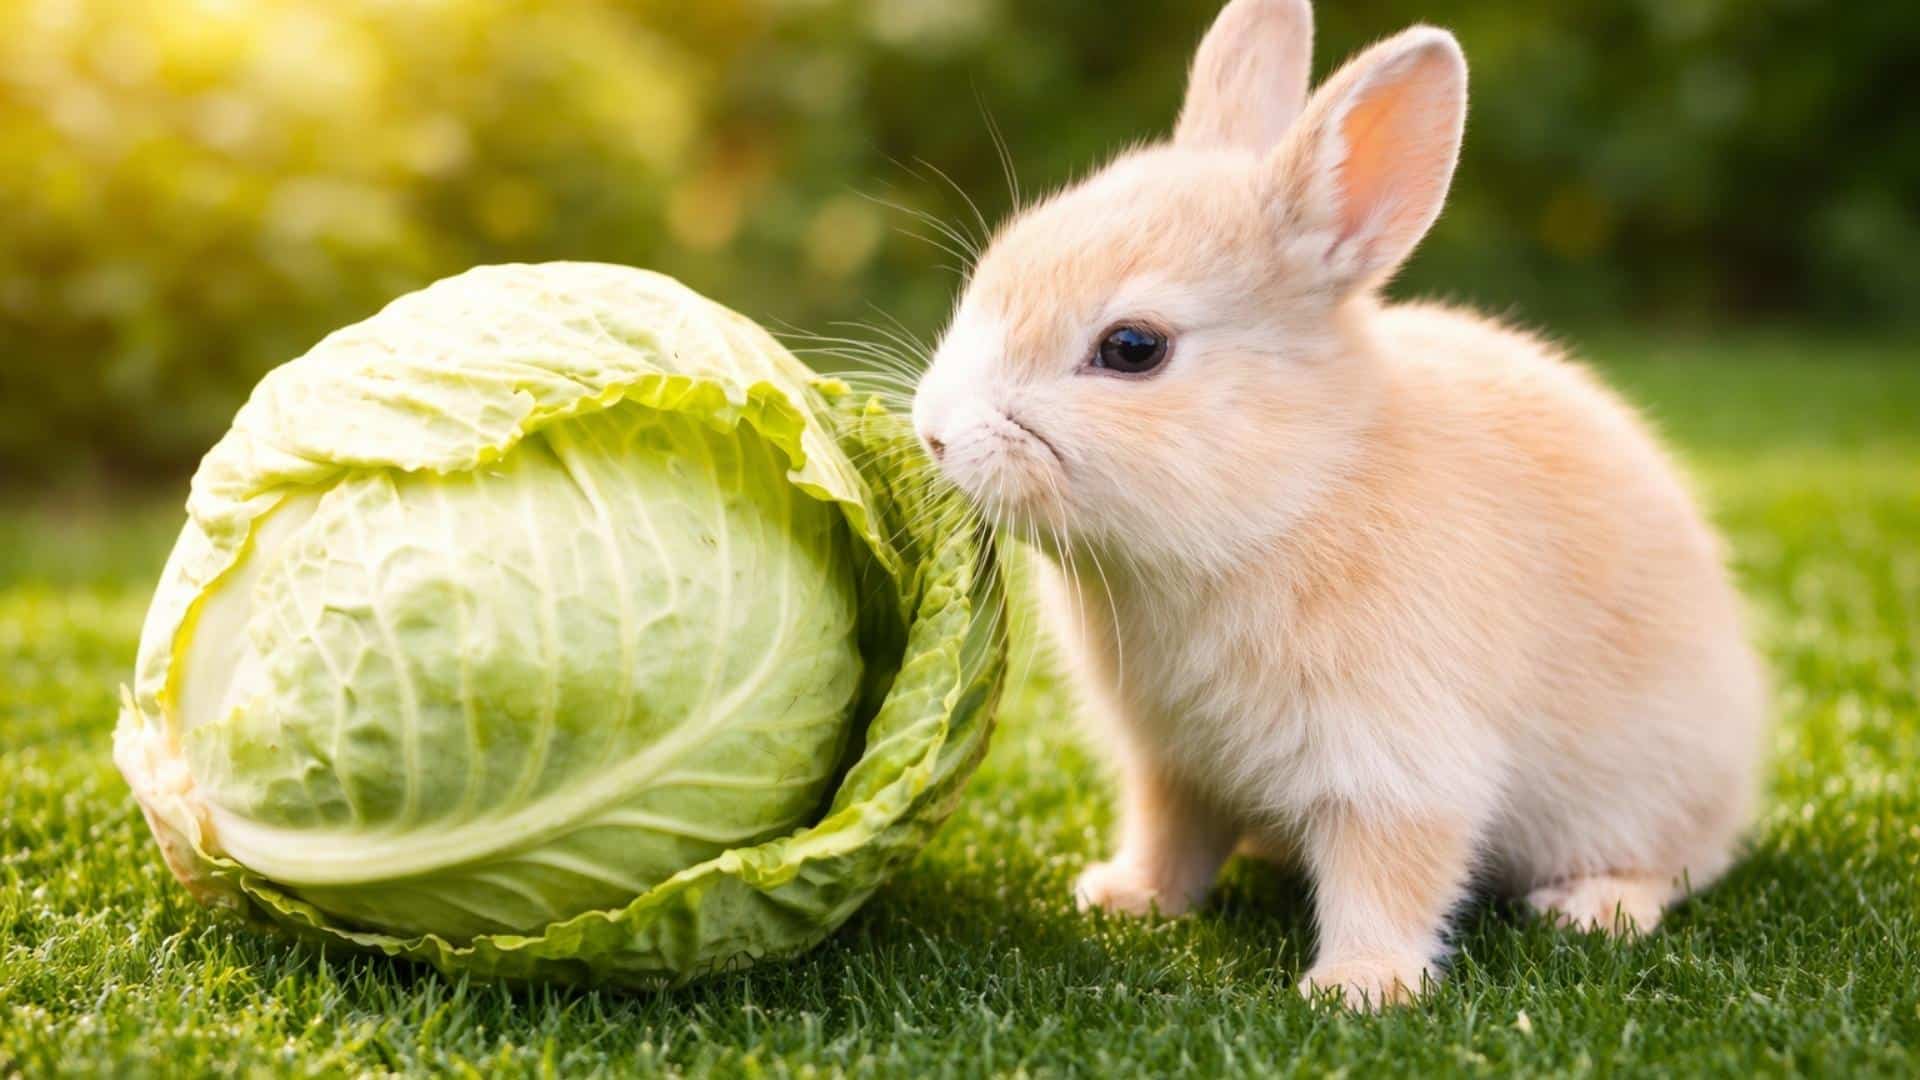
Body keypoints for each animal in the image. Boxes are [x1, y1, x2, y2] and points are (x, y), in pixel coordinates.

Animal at [909, 0, 1766, 1009]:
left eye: (1132, 348)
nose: (935, 432)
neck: (1290, 495)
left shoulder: (1399, 761)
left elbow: (1389, 873)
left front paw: (1358, 988)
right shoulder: (1172, 763)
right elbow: (1170, 836)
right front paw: (1125, 900)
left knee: (1672, 866)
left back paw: (1591, 907)